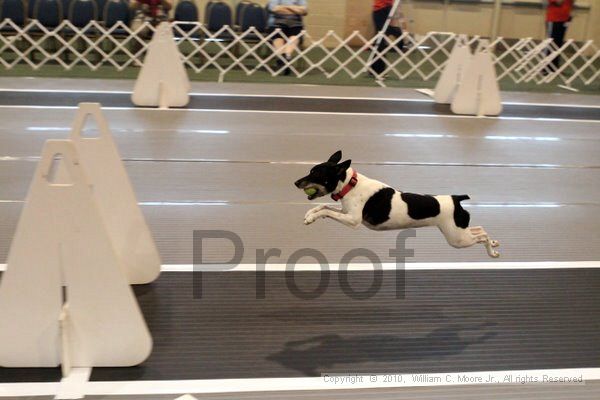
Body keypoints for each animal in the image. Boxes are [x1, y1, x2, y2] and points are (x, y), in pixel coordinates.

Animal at [292, 149, 500, 256]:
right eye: (310, 171)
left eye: (316, 174)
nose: (295, 182)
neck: (351, 184)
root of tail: (456, 198)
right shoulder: (346, 213)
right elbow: (323, 206)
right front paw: (309, 214)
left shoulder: (353, 221)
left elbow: (327, 211)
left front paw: (311, 218)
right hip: (457, 232)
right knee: (480, 229)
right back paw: (494, 244)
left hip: (456, 239)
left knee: (481, 235)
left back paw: (492, 251)